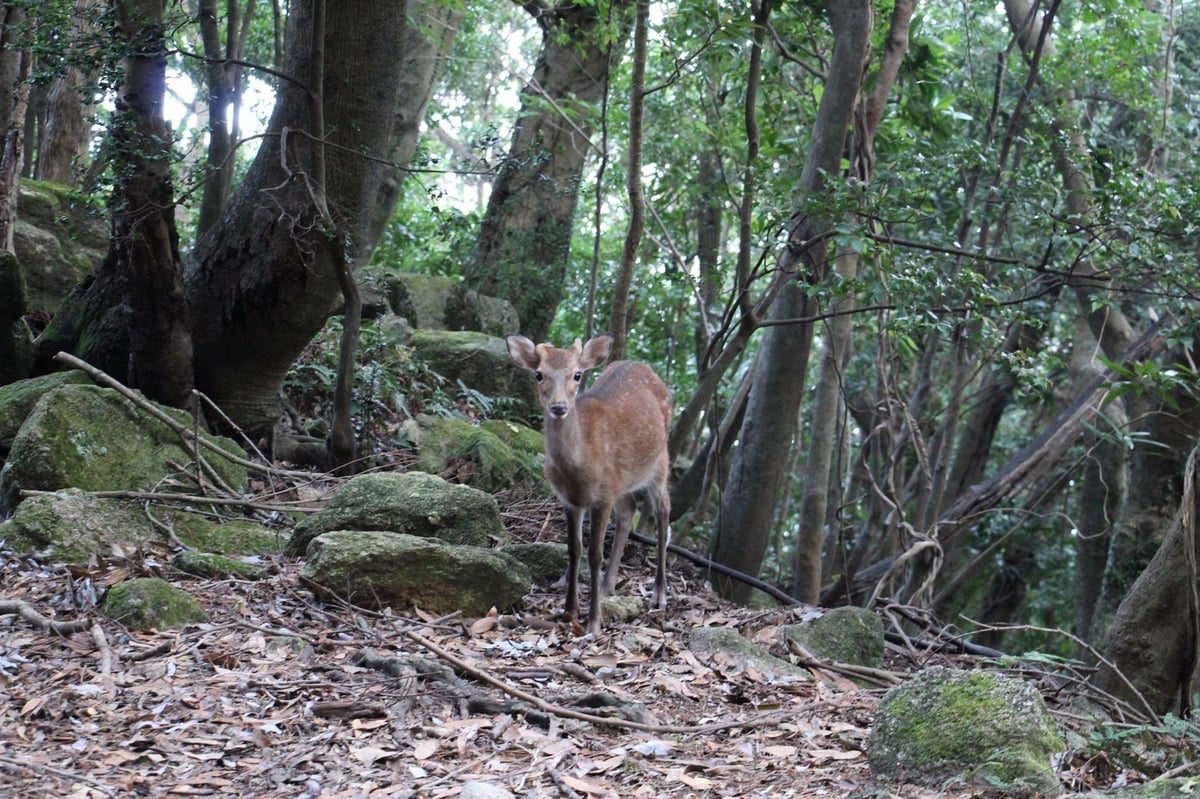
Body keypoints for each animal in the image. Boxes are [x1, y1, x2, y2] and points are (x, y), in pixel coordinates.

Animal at [506, 333, 676, 633]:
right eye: (539, 374)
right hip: (622, 481)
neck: (577, 468)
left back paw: (659, 594)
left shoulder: (602, 497)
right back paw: (608, 587)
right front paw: (569, 611)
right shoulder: (571, 500)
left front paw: (594, 621)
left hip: (660, 461)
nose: (559, 407)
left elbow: (595, 554)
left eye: (577, 374)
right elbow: (575, 550)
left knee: (663, 513)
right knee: (629, 510)